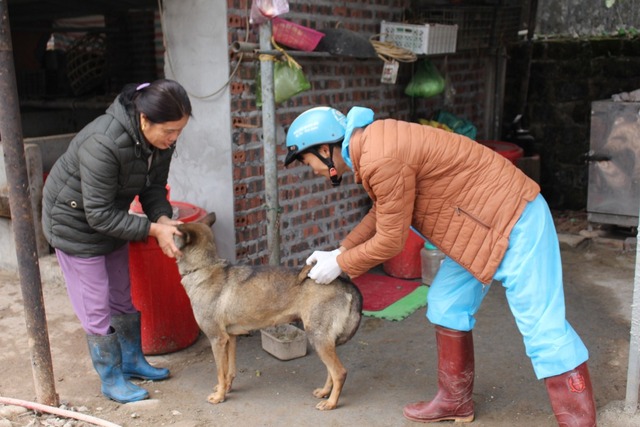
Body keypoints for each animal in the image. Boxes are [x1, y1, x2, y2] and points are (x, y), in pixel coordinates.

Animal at [175, 214, 362, 412]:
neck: (204, 268)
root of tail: (344, 282)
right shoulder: (230, 338)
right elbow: (229, 371)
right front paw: (225, 388)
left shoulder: (217, 339)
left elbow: (220, 371)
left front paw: (219, 396)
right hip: (324, 340)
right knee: (331, 371)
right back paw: (325, 392)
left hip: (317, 337)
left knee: (339, 372)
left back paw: (331, 402)